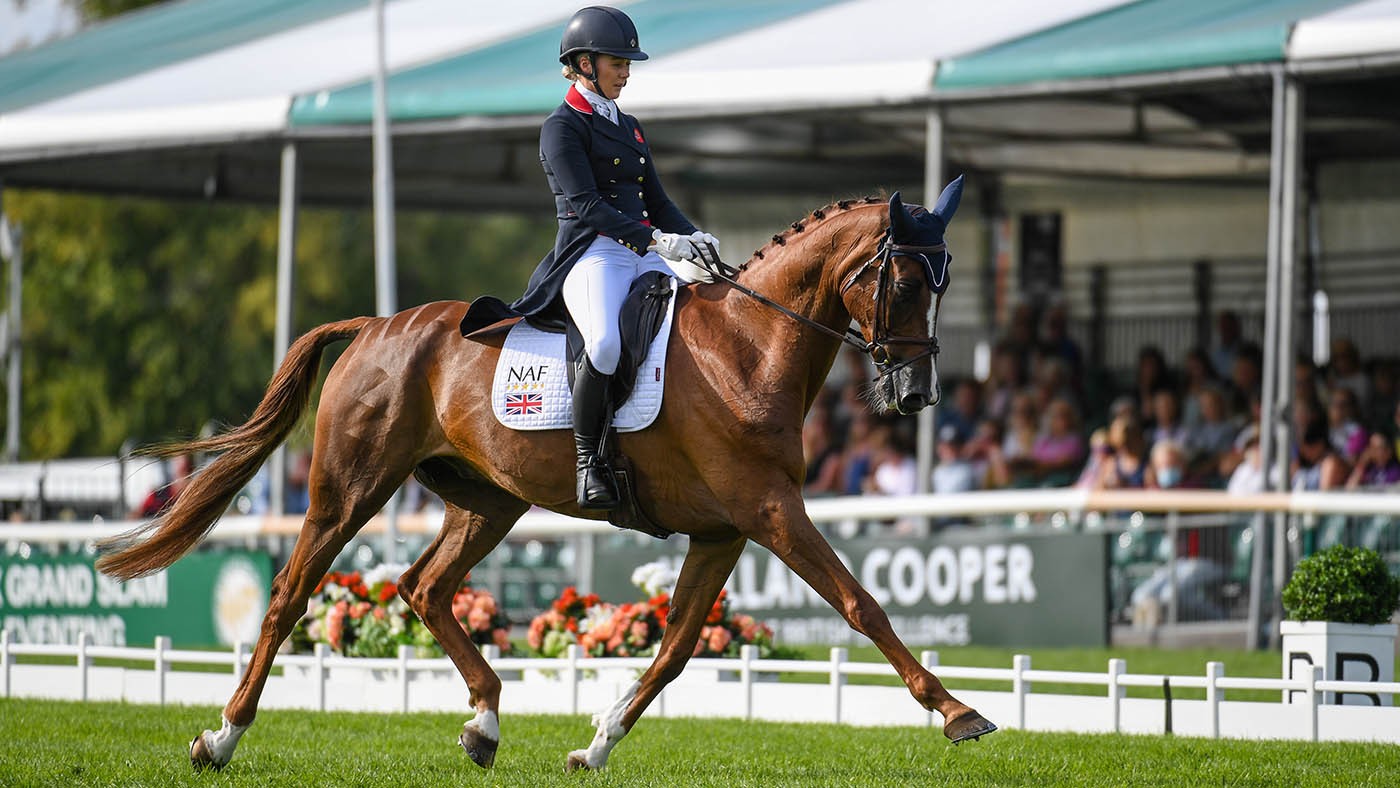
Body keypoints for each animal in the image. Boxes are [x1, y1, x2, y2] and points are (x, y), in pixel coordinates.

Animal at [98, 180, 996, 772]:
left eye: (947, 282)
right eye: (905, 282)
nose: (916, 395)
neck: (749, 346)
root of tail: (375, 325)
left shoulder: (723, 530)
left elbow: (675, 648)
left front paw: (595, 744)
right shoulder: (771, 511)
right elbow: (861, 603)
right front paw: (958, 711)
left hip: (486, 500)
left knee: (424, 587)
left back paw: (485, 724)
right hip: (349, 491)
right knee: (291, 594)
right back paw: (219, 738)